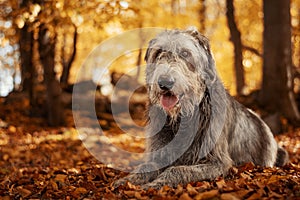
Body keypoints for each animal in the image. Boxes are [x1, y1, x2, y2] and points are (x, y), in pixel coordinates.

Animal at [113, 27, 288, 190]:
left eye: (185, 53)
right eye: (158, 52)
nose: (164, 82)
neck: (181, 118)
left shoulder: (218, 162)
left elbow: (177, 170)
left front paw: (155, 184)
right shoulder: (160, 152)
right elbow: (145, 167)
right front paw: (126, 181)